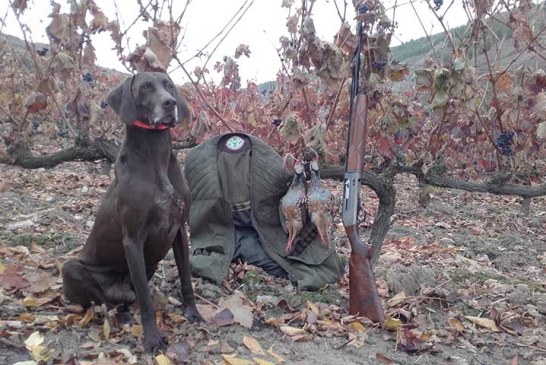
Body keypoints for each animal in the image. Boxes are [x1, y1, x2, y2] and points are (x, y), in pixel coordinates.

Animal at [61, 72, 201, 352]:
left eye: (169, 86)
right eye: (145, 87)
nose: (170, 103)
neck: (155, 157)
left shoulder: (179, 229)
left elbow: (186, 277)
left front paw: (193, 312)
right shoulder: (133, 239)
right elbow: (145, 301)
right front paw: (152, 339)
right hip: (70, 269)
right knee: (106, 302)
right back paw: (122, 315)